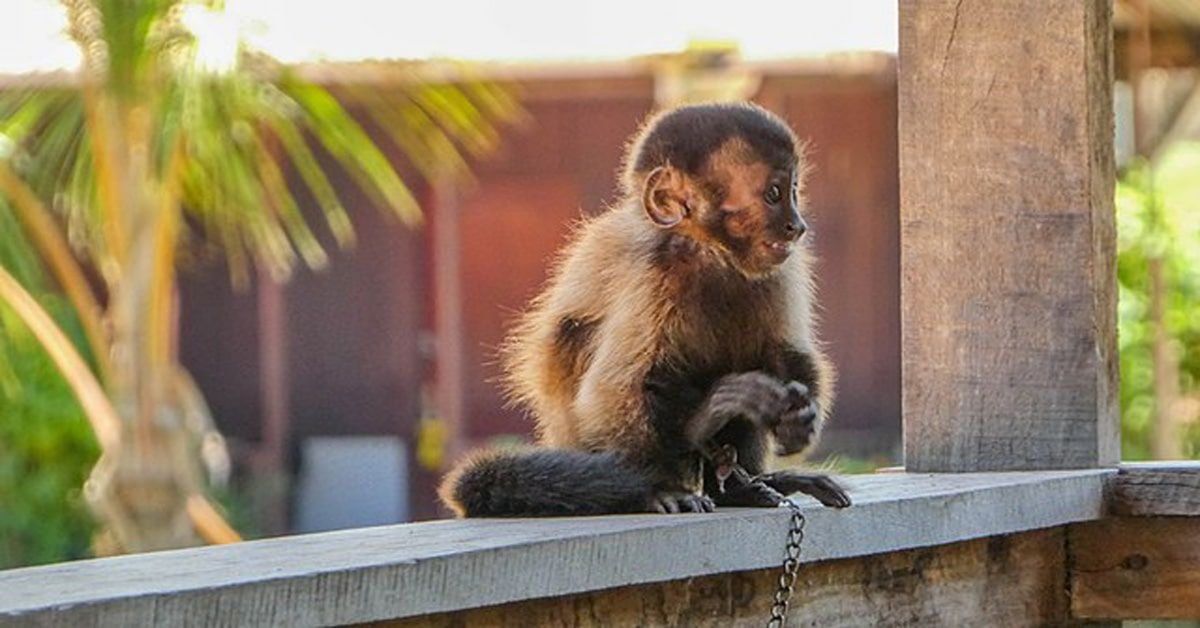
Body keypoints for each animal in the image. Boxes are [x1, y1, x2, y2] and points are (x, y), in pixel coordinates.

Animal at [444, 102, 854, 516]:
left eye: (793, 192)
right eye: (773, 194)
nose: (796, 225)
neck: (707, 252)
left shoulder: (779, 267)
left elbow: (782, 350)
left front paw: (799, 419)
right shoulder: (653, 271)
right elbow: (615, 389)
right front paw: (662, 484)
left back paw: (739, 485)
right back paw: (698, 435)